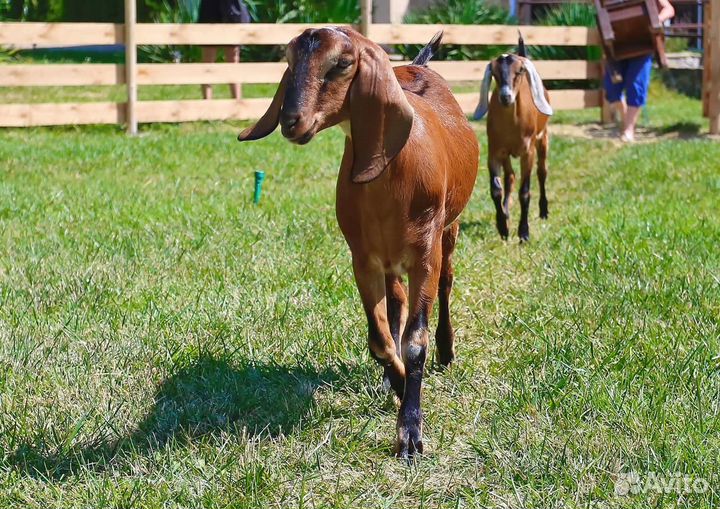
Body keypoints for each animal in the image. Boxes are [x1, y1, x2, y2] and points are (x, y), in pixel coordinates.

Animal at [239, 26, 480, 456]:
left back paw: (447, 349)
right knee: (396, 303)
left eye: (342, 63)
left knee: (447, 284)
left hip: (448, 231)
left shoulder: (425, 254)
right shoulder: (364, 259)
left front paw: (410, 432)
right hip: (391, 259)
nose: (290, 121)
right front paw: (396, 382)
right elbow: (380, 340)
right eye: (290, 60)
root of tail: (417, 66)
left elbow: (415, 342)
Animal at [476, 35, 556, 242]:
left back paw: (543, 211)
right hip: (506, 154)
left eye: (519, 70)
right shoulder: (495, 152)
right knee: (510, 177)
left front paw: (524, 232)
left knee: (542, 172)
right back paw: (505, 213)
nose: (506, 96)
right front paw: (503, 227)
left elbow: (525, 192)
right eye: (494, 72)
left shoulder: (528, 152)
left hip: (543, 139)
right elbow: (496, 190)